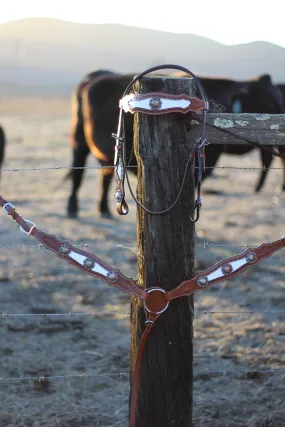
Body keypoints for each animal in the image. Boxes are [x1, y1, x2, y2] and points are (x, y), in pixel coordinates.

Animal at [66, 70, 284, 219]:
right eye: (268, 102)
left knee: (106, 177)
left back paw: (104, 210)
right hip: (78, 140)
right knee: (78, 174)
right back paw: (72, 208)